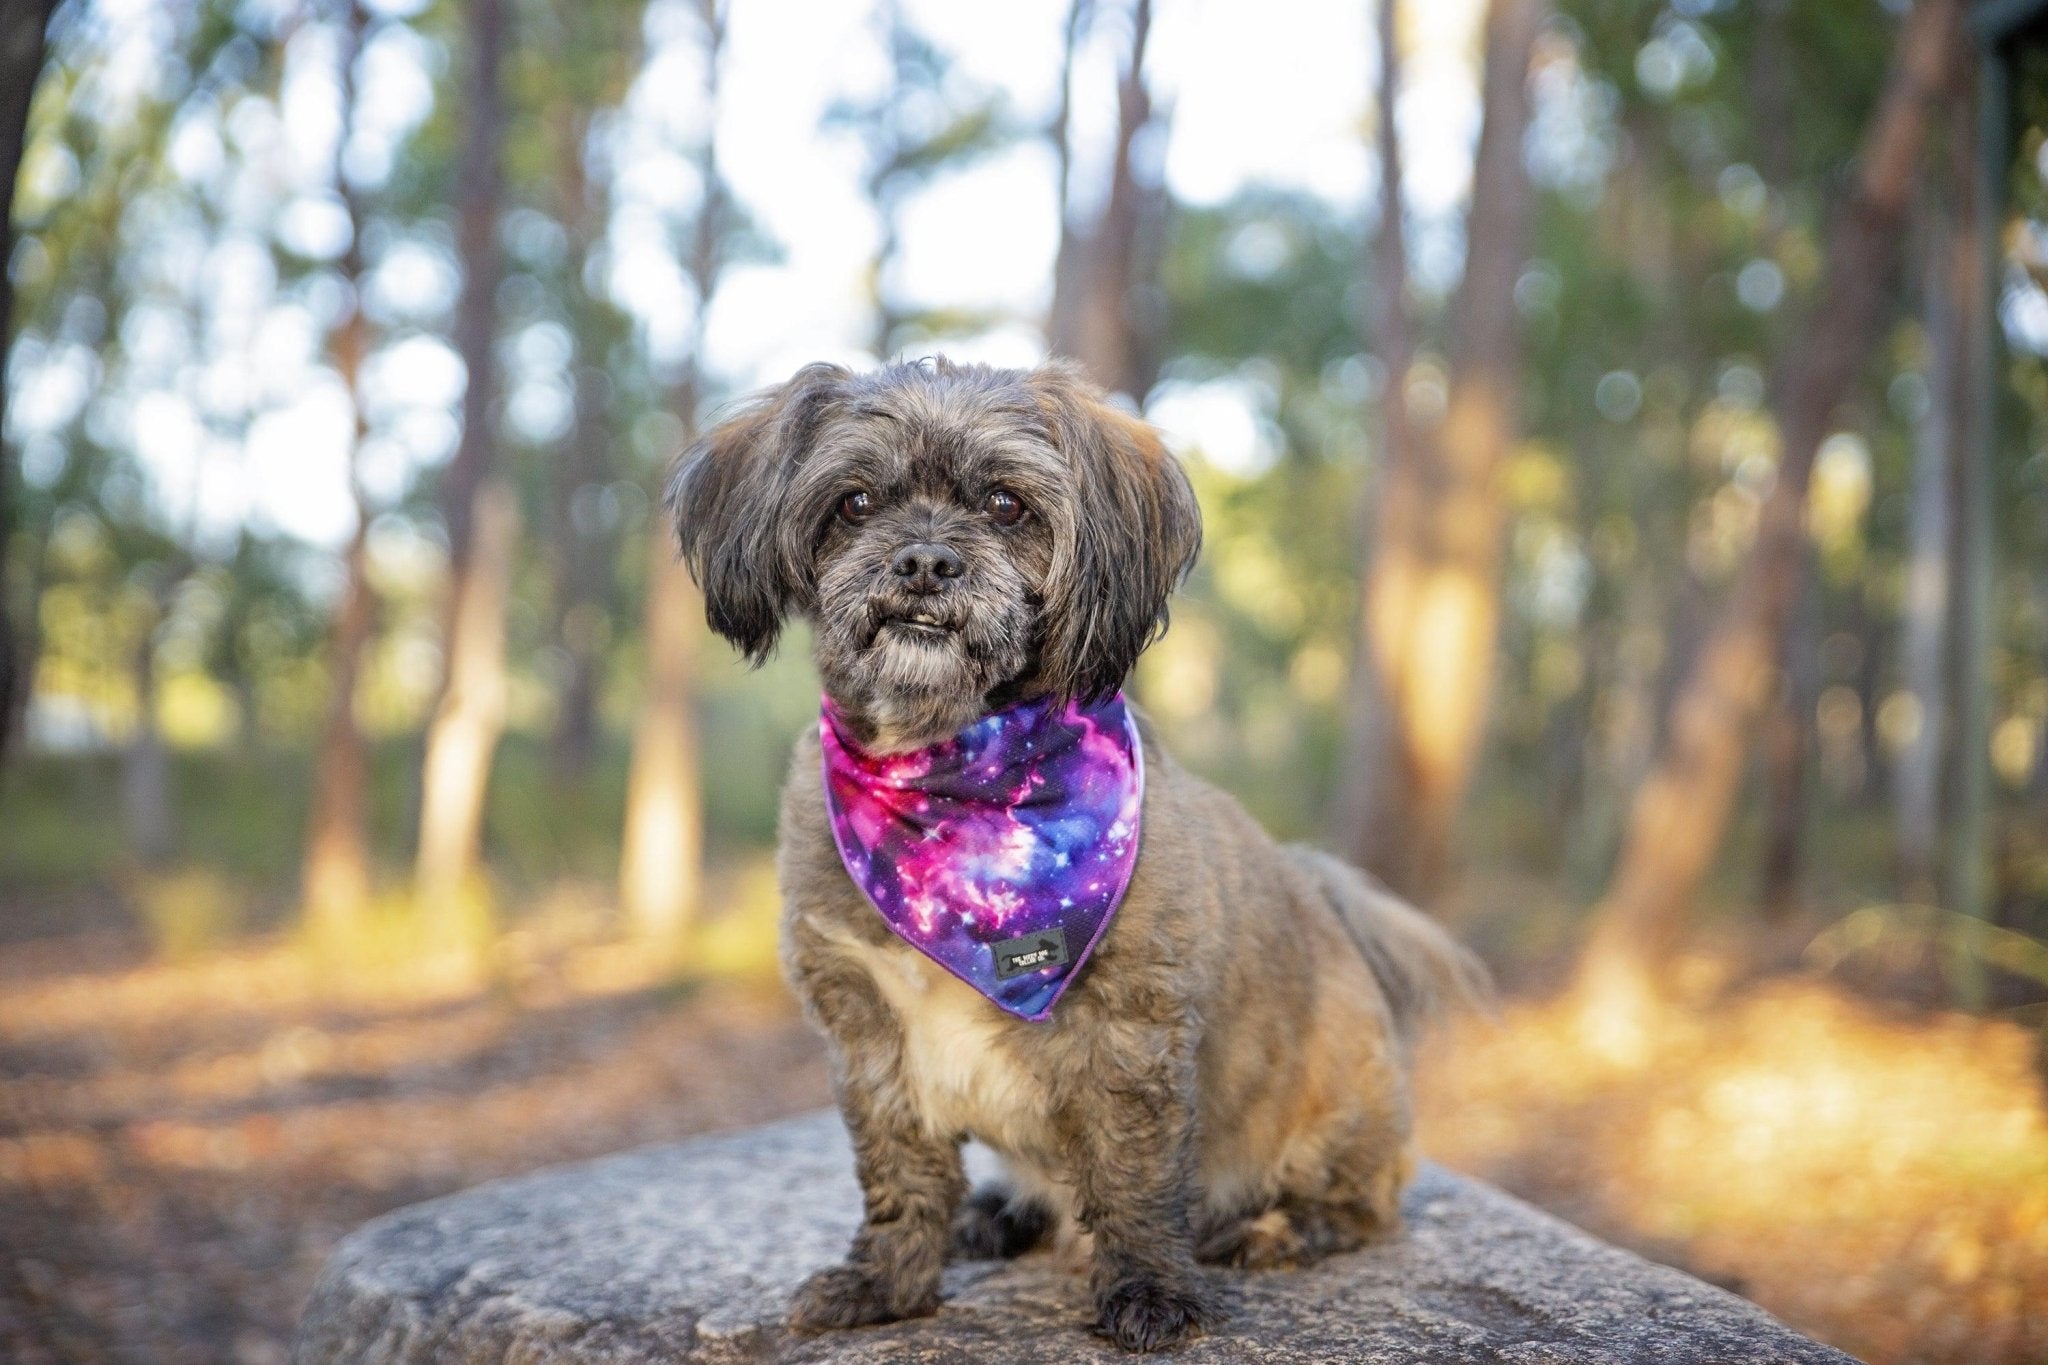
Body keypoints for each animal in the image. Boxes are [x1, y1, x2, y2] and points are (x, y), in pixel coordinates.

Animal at [671, 358, 1490, 1350]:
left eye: (1006, 503)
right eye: (854, 501)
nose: (925, 560)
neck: (954, 777)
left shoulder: (1130, 1028)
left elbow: (1131, 1169)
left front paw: (1149, 1289)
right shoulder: (867, 1032)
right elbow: (900, 1170)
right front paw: (887, 1282)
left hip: (1338, 1111)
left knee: (1368, 1205)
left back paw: (1279, 1226)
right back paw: (998, 1212)